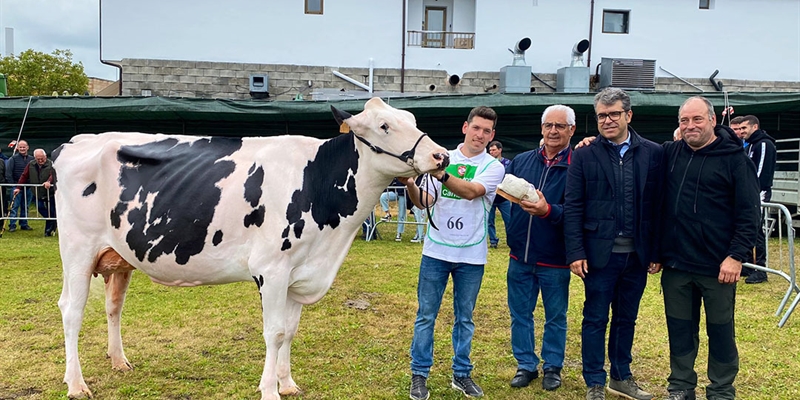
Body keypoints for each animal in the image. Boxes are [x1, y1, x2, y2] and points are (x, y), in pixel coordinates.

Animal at [53, 97, 446, 400]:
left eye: (411, 120)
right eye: (384, 126)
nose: (440, 156)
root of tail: (73, 142)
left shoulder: (298, 273)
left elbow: (289, 331)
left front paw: (288, 383)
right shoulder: (271, 270)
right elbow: (273, 332)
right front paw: (270, 390)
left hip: (118, 257)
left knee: (113, 307)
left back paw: (119, 361)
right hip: (77, 250)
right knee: (71, 310)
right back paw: (76, 384)